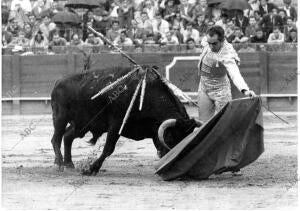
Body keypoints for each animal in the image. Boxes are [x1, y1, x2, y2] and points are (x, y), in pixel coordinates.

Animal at [51, 65, 202, 175]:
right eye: (171, 138)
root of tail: (58, 82)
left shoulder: (153, 130)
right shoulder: (116, 125)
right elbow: (108, 149)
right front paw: (91, 168)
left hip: (81, 124)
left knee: (67, 136)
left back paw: (69, 164)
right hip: (60, 117)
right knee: (56, 138)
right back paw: (59, 164)